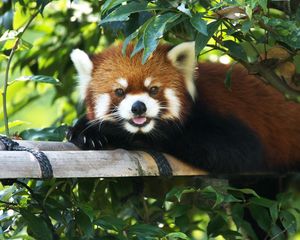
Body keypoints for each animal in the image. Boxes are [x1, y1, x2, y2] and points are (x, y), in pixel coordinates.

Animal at [67, 41, 300, 172]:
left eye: (153, 89)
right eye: (119, 92)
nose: (138, 107)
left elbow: (240, 151)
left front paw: (119, 135)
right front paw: (86, 132)